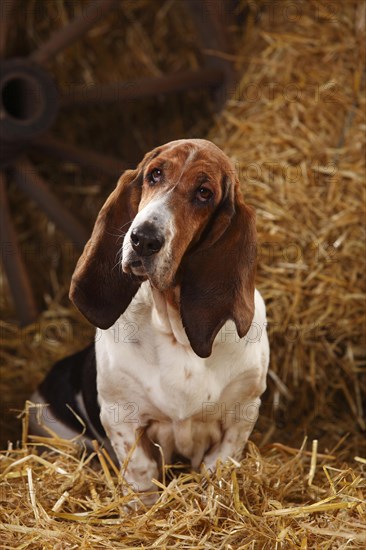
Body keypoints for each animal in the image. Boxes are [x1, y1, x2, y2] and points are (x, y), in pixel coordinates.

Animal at [30, 139, 268, 504]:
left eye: (204, 193)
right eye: (154, 174)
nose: (143, 238)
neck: (174, 329)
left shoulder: (243, 411)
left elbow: (220, 463)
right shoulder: (121, 416)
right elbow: (141, 472)